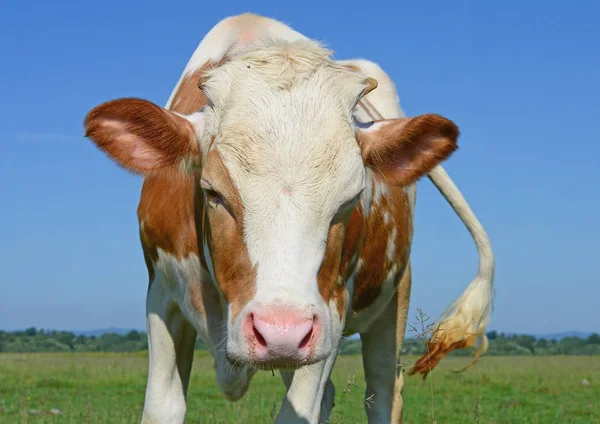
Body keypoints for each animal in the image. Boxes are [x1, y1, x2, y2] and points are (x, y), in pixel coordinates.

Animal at [85, 13, 496, 424]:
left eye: (351, 198)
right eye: (212, 191)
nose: (281, 332)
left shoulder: (330, 310)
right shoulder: (161, 295)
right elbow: (162, 406)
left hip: (392, 299)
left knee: (381, 392)